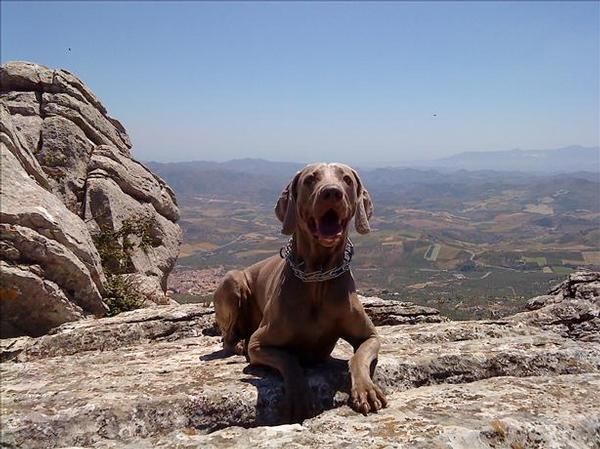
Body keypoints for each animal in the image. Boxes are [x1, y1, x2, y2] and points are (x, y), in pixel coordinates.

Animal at [213, 163, 386, 422]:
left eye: (346, 179)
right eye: (310, 179)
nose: (332, 192)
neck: (318, 276)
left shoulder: (370, 336)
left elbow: (359, 357)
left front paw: (366, 389)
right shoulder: (259, 343)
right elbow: (289, 360)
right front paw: (297, 397)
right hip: (232, 281)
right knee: (228, 337)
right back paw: (238, 344)